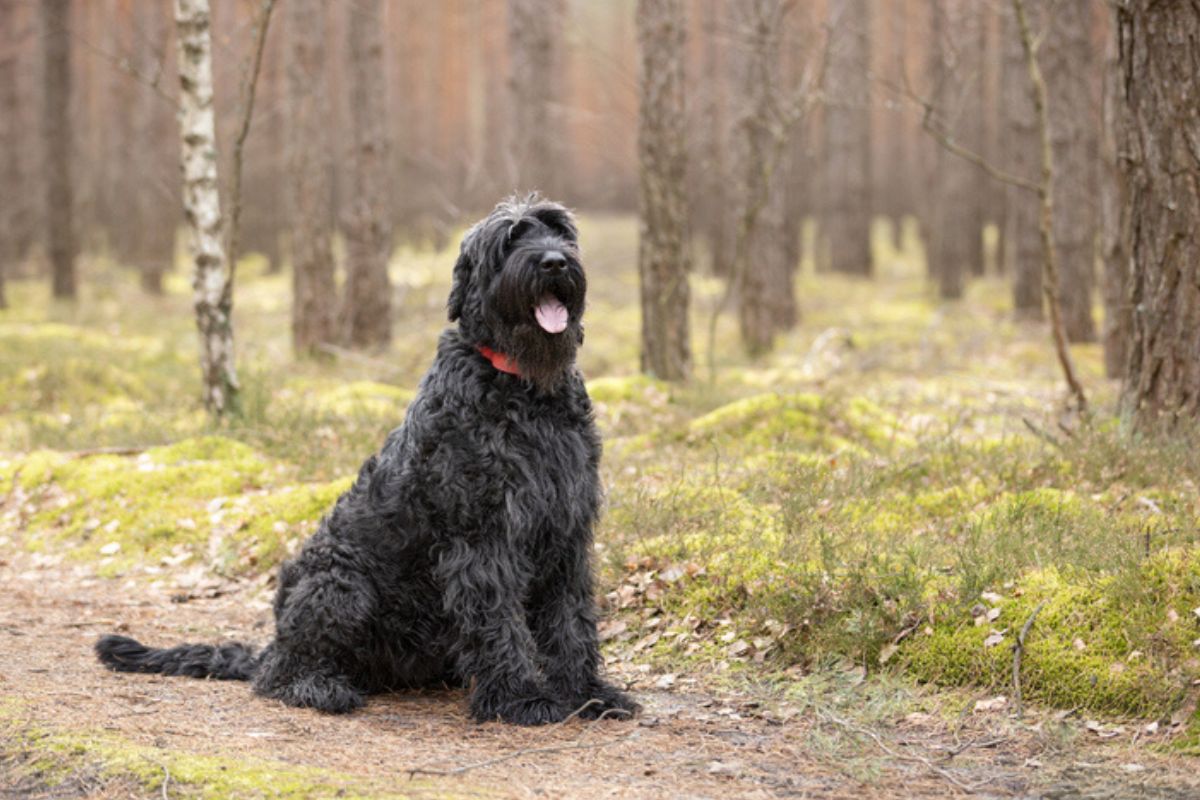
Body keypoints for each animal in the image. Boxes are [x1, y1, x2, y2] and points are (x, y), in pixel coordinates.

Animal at [96, 194, 638, 724]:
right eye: (509, 240)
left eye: (559, 231)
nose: (554, 261)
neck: (522, 388)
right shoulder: (484, 537)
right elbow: (500, 621)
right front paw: (520, 698)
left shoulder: (566, 530)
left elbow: (571, 619)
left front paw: (588, 693)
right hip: (340, 584)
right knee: (278, 673)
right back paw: (319, 686)